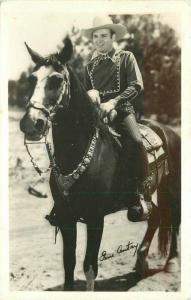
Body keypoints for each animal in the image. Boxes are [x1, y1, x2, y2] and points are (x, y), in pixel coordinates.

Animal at [19, 35, 181, 290]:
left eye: (56, 80)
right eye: (32, 79)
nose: (30, 123)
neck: (78, 153)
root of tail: (168, 131)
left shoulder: (96, 218)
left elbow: (89, 266)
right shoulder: (66, 218)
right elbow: (69, 265)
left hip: (172, 187)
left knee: (173, 218)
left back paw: (172, 262)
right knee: (154, 215)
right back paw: (140, 262)